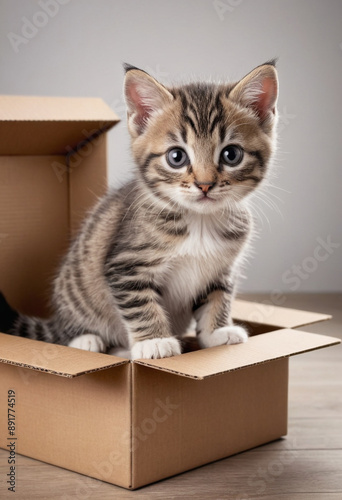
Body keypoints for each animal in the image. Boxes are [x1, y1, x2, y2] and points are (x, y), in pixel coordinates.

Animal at [0, 61, 278, 360]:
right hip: (74, 291)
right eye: (176, 157)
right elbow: (141, 305)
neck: (199, 220)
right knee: (66, 332)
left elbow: (218, 297)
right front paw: (154, 341)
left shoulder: (222, 270)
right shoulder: (125, 266)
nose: (205, 185)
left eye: (231, 154)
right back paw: (87, 340)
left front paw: (216, 332)